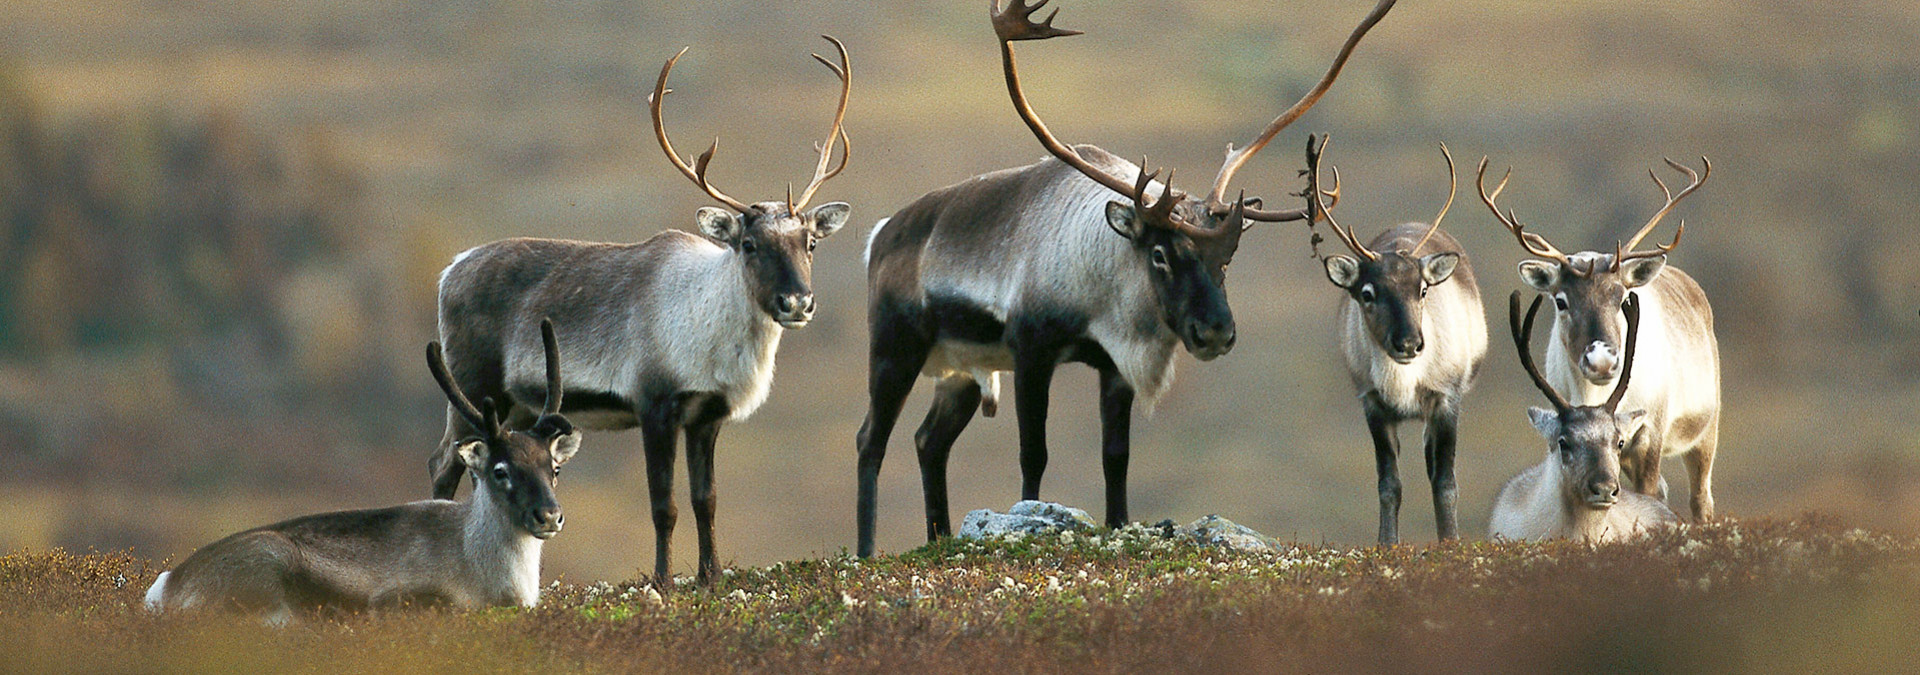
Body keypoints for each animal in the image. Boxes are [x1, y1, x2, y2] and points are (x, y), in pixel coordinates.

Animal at [145, 321, 578, 624]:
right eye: (501, 470)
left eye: (554, 468)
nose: (549, 515)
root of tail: (166, 587)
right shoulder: (407, 597)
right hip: (264, 573)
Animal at [426, 36, 853, 585]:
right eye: (749, 244)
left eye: (811, 243)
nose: (797, 302)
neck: (709, 327)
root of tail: (451, 268)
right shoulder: (655, 404)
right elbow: (663, 504)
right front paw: (664, 580)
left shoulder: (707, 415)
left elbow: (706, 500)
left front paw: (711, 577)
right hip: (471, 384)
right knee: (443, 463)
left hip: (516, 404)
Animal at [854, 0, 1397, 558]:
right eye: (1160, 254)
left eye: (1228, 256)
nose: (1215, 332)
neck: (1105, 297)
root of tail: (880, 234)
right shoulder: (1031, 350)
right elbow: (1034, 453)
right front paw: (1028, 513)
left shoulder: (1113, 367)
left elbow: (1116, 455)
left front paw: (1118, 522)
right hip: (896, 346)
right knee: (872, 438)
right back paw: (867, 548)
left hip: (963, 367)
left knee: (928, 441)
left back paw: (937, 535)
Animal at [1305, 136, 1487, 545]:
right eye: (1367, 293)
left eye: (1422, 290)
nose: (1408, 344)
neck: (1403, 383)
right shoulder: (1372, 404)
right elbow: (1389, 484)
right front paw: (1386, 543)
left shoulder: (1447, 400)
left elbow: (1446, 482)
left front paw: (1450, 541)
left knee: (1434, 467)